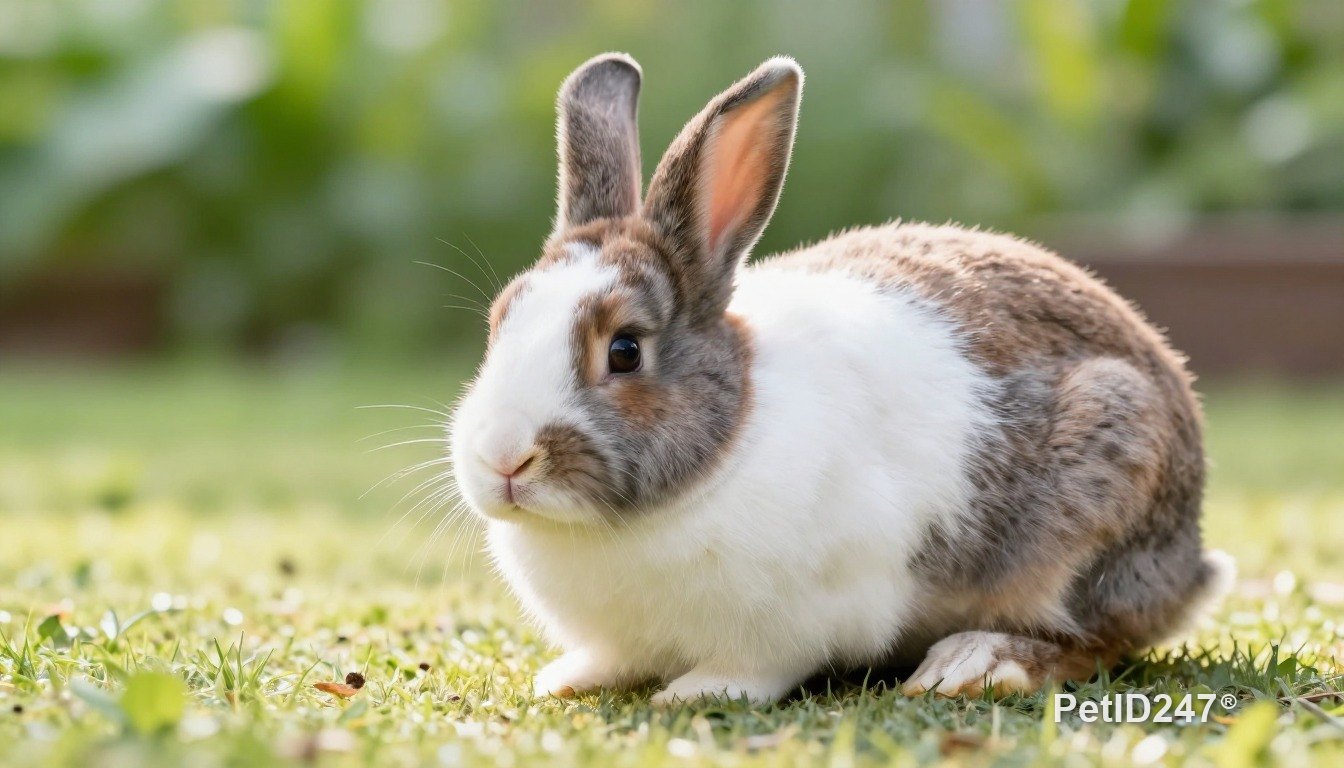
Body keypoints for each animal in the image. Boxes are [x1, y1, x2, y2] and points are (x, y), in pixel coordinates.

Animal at [449, 53, 1234, 705]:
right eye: (498, 322)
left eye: (624, 351)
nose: (504, 458)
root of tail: (1190, 563)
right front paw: (564, 679)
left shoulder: (806, 613)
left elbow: (758, 668)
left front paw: (693, 693)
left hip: (1104, 486)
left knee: (1098, 640)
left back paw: (972, 665)